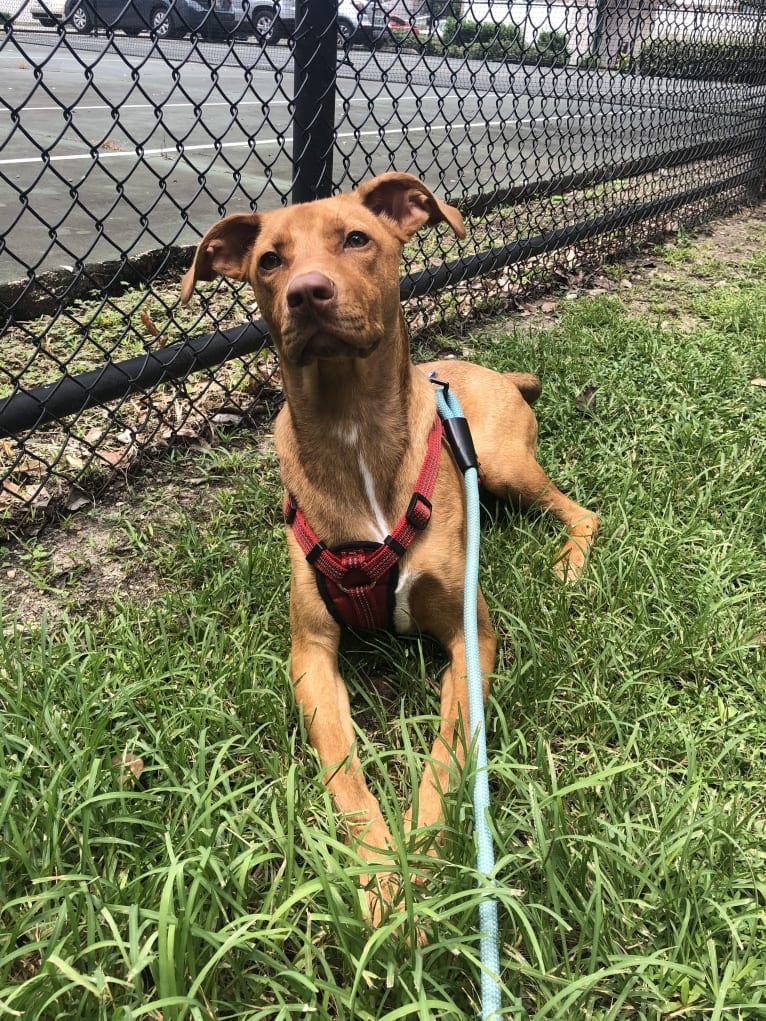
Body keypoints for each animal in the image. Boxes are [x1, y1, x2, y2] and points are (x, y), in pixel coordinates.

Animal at [181, 173, 600, 927]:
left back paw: (570, 563)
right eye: (269, 260)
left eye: (356, 238)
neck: (353, 427)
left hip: (503, 464)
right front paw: (380, 873)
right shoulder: (310, 652)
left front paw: (423, 853)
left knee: (582, 511)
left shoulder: (471, 636)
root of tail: (489, 370)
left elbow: (449, 749)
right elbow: (344, 766)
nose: (307, 292)